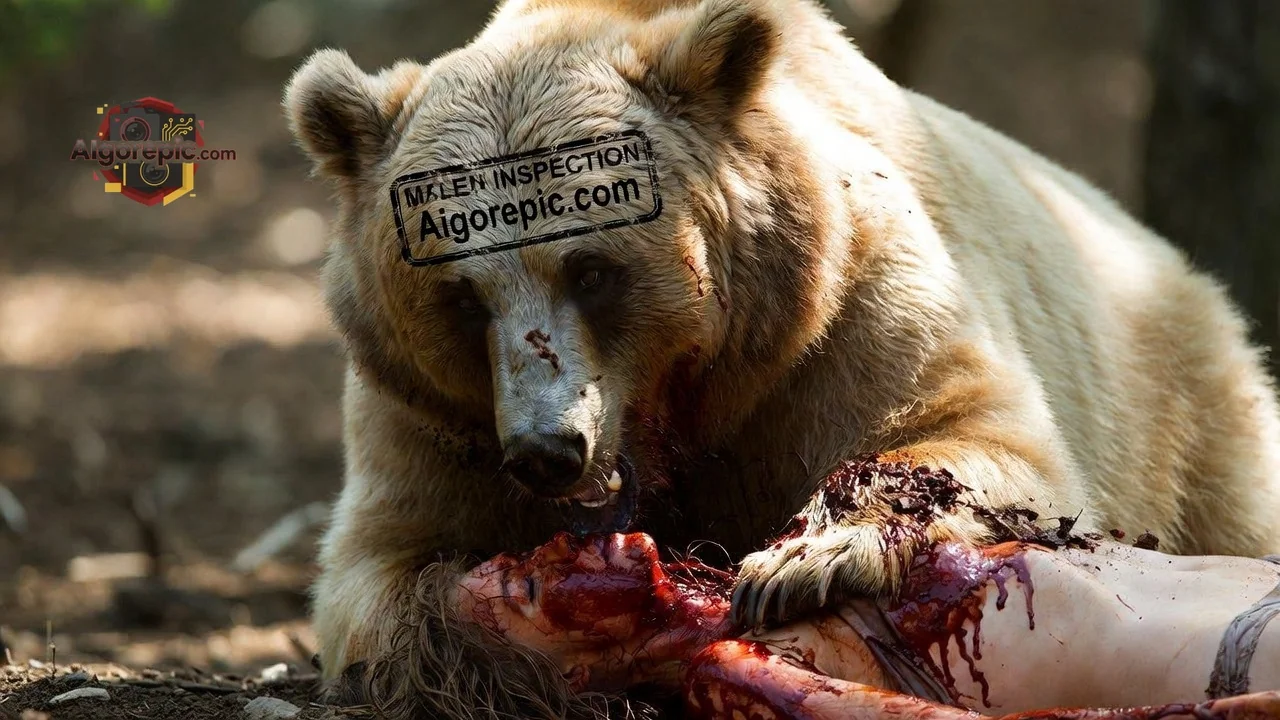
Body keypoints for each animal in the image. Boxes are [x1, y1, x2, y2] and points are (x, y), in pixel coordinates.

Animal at [283, 0, 1280, 715]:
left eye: (592, 267)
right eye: (459, 294)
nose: (547, 448)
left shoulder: (841, 315)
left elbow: (984, 435)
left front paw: (804, 559)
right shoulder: (425, 419)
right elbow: (376, 574)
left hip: (1184, 401)